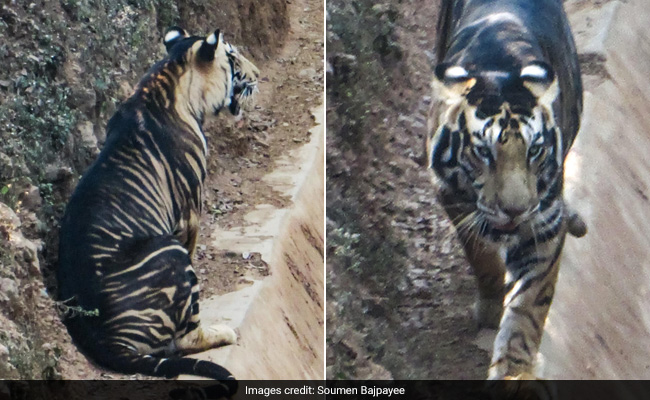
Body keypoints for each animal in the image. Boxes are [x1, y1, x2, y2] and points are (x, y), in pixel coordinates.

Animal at [56, 26, 259, 391]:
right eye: (234, 57)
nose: (258, 75)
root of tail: (102, 340)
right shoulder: (190, 213)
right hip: (169, 252)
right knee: (186, 338)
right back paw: (224, 332)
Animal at [426, 0, 585, 380]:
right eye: (484, 152)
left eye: (535, 150)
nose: (515, 210)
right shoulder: (452, 197)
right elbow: (481, 254)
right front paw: (490, 306)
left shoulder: (543, 224)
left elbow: (527, 309)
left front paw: (515, 372)